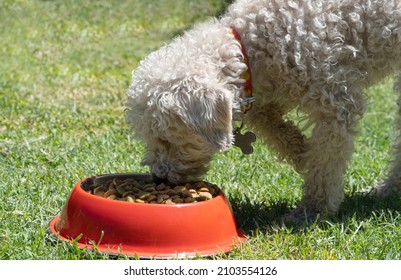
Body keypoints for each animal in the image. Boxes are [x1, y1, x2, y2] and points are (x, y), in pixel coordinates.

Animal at [126, 0, 400, 223]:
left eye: (166, 139)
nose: (159, 178)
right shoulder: (269, 90)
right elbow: (269, 122)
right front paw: (302, 154)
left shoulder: (336, 100)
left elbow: (325, 162)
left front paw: (312, 210)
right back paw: (387, 190)